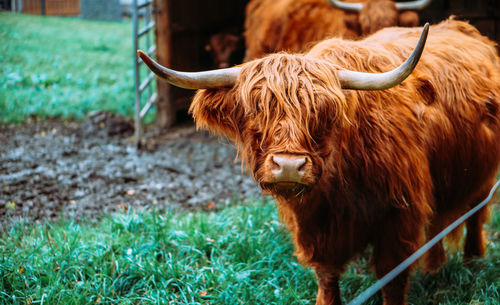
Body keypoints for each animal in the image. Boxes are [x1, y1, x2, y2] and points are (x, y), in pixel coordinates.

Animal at [139, 19, 500, 304]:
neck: (339, 188)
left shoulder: (399, 217)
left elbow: (392, 280)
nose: (288, 165)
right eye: (255, 112)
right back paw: (435, 266)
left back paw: (473, 261)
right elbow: (327, 277)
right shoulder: (317, 230)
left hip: (482, 178)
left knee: (473, 215)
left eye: (323, 114)